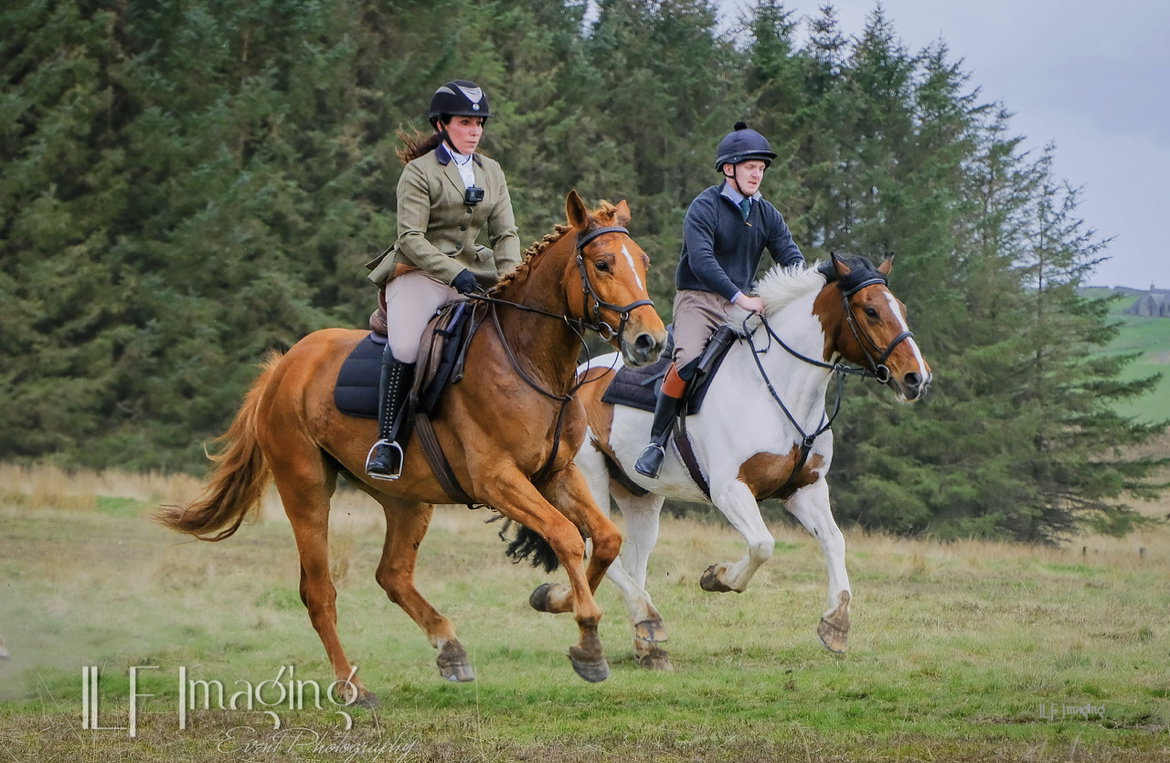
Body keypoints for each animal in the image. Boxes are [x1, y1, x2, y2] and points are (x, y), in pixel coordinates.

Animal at [157, 191, 668, 703]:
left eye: (642, 261)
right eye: (602, 264)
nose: (651, 341)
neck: (528, 361)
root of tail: (282, 368)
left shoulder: (555, 474)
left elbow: (605, 539)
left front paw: (554, 599)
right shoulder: (498, 480)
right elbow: (566, 536)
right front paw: (588, 641)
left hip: (407, 498)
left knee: (394, 574)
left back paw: (450, 649)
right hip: (305, 488)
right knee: (319, 591)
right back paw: (352, 687)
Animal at [563, 253, 931, 669]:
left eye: (901, 308)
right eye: (871, 311)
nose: (917, 378)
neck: (776, 390)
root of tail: (578, 373)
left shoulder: (805, 489)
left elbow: (834, 541)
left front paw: (836, 624)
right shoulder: (730, 491)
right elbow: (762, 544)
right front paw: (718, 577)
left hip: (640, 494)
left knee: (633, 558)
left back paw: (648, 640)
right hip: (590, 478)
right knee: (599, 548)